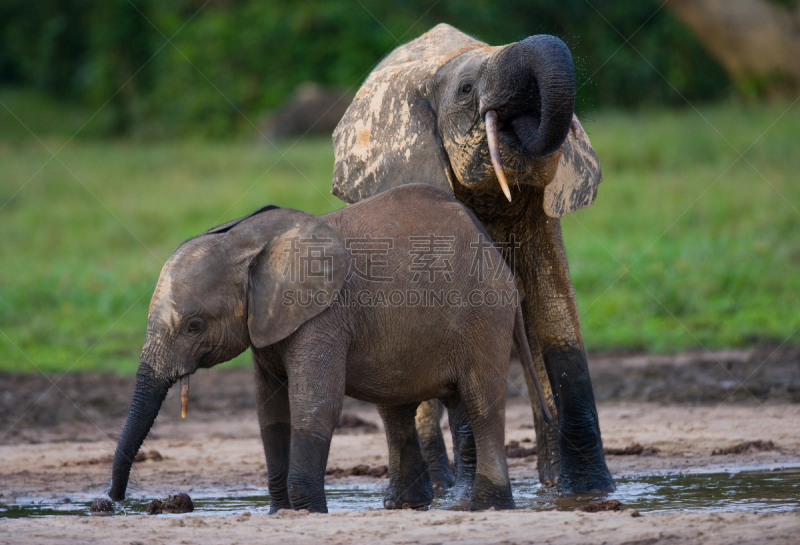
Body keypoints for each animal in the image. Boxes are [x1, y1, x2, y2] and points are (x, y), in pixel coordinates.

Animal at [108, 183, 552, 510]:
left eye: (195, 325)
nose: (113, 501)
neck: (244, 239)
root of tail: (493, 249)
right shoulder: (268, 324)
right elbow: (270, 411)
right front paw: (280, 512)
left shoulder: (323, 315)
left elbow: (315, 403)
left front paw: (308, 511)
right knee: (398, 408)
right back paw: (409, 505)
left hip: (484, 314)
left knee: (480, 401)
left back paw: (489, 506)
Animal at [332, 24, 612, 492]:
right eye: (466, 90)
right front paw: (466, 494)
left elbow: (556, 315)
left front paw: (593, 491)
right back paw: (443, 487)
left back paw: (550, 482)